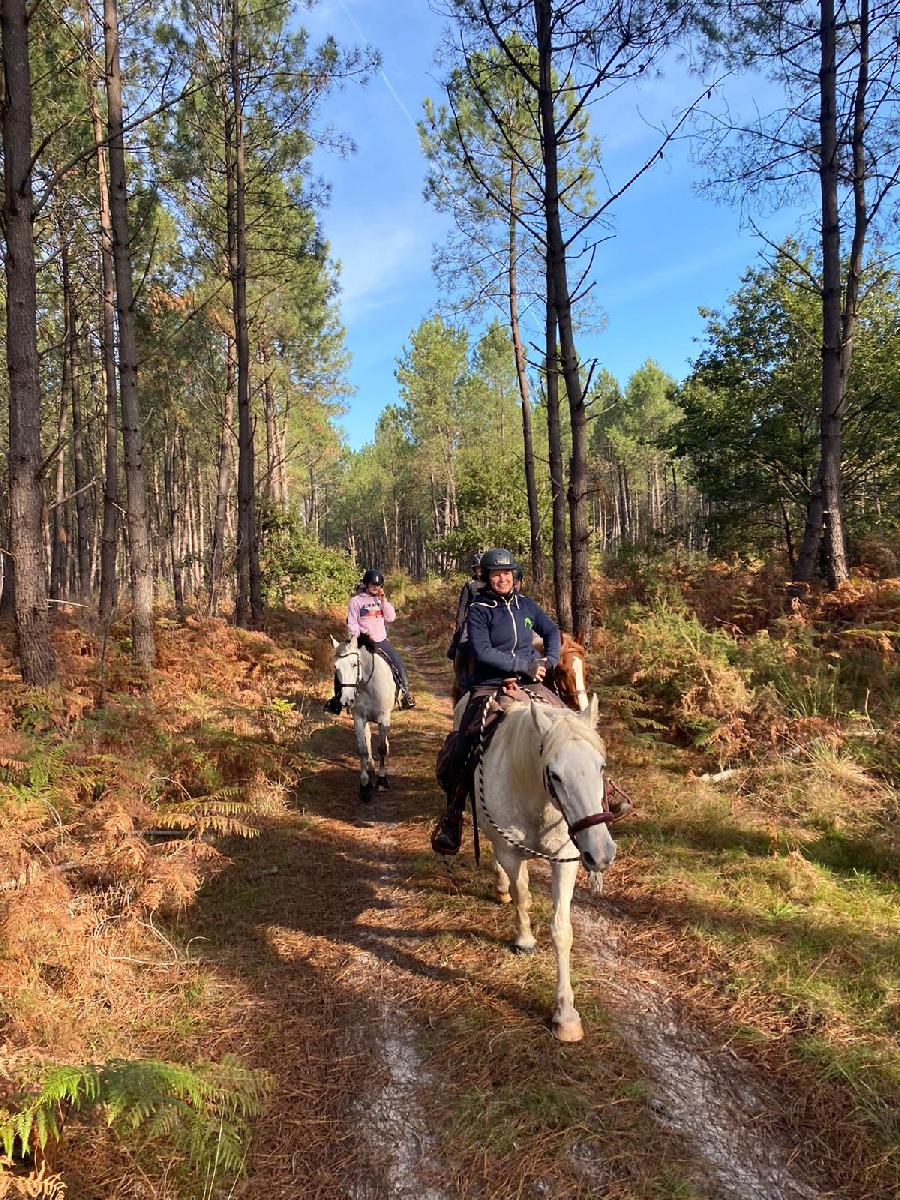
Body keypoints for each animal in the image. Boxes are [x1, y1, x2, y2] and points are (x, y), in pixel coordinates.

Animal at [328, 633, 396, 801]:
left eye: (354, 664)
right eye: (335, 667)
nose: (346, 700)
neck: (367, 685)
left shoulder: (384, 717)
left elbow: (382, 748)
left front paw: (382, 781)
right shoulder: (358, 718)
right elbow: (362, 748)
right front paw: (364, 786)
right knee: (368, 736)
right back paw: (370, 764)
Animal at [458, 696, 619, 1041]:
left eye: (601, 766)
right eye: (555, 775)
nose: (601, 854)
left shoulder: (566, 859)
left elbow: (562, 930)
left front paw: (566, 1015)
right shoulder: (510, 853)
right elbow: (520, 894)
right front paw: (525, 939)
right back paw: (502, 887)